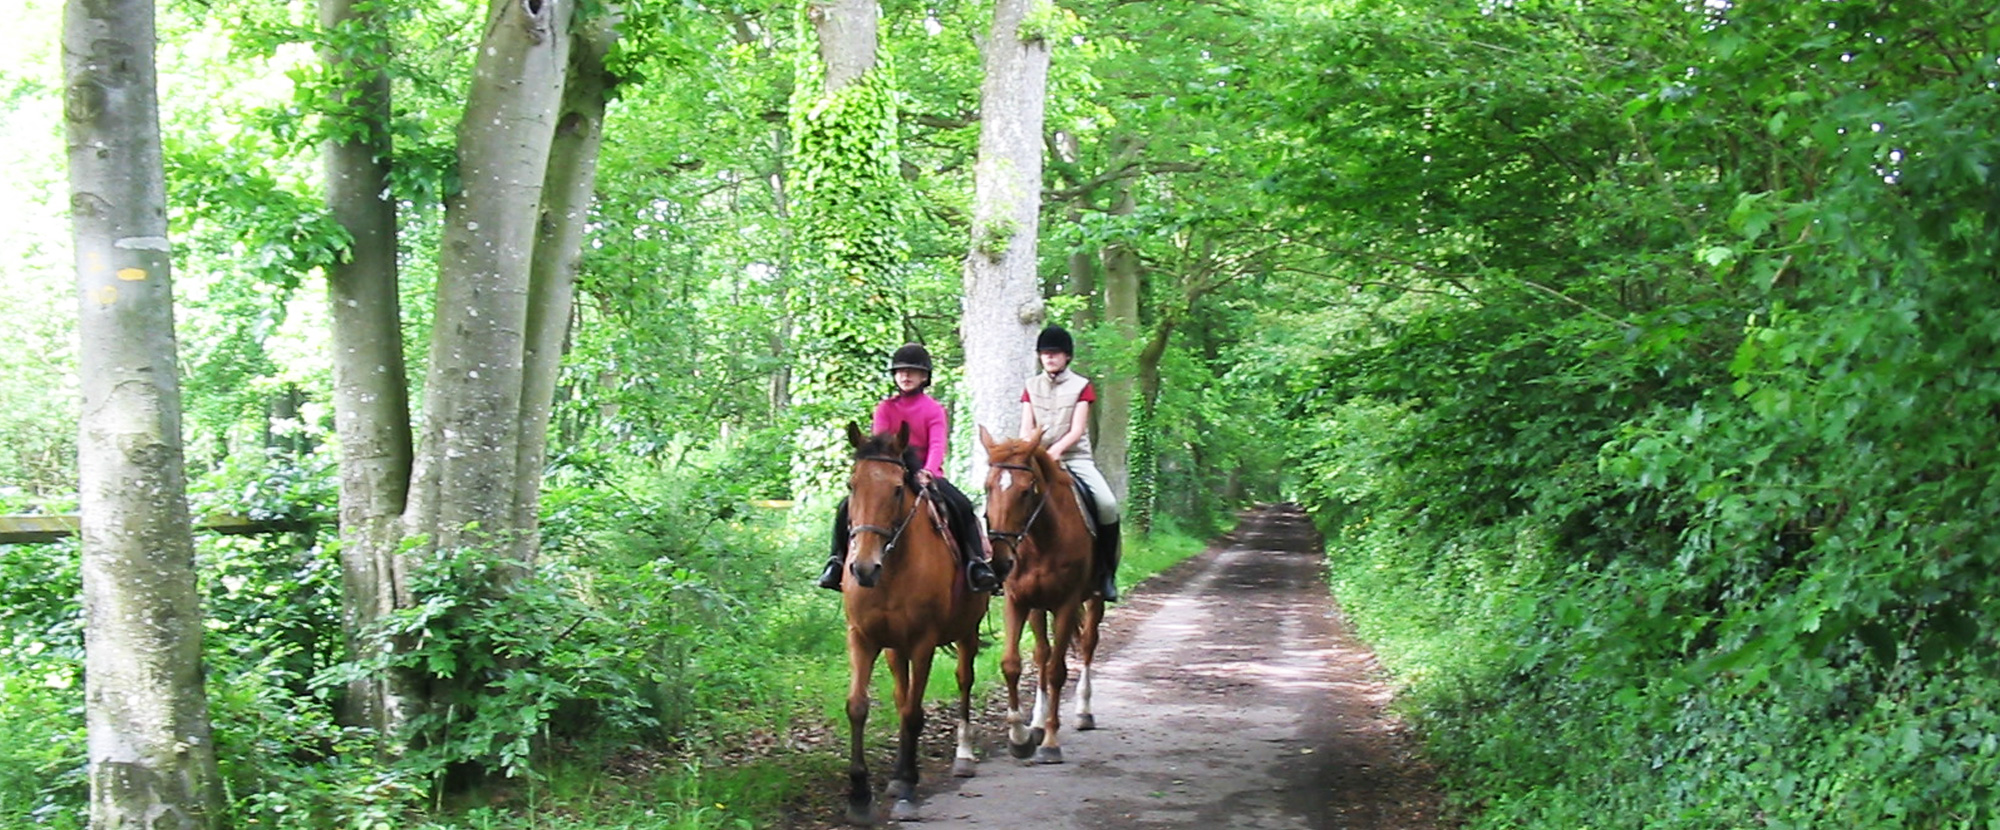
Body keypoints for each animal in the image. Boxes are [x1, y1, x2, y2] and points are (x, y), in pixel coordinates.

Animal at [836, 426, 984, 828]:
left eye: (897, 489)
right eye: (852, 485)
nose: (863, 568)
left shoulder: (923, 642)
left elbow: (914, 714)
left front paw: (905, 785)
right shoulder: (862, 638)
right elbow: (859, 706)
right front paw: (859, 796)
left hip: (967, 632)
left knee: (964, 681)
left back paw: (963, 756)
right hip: (893, 648)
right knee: (902, 694)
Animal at [972, 428, 1104, 768]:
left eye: (1025, 491)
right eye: (988, 486)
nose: (1001, 561)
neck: (1042, 540)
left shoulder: (1067, 604)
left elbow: (1058, 670)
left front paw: (1051, 742)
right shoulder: (1018, 601)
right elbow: (1012, 664)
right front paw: (1020, 737)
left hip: (1094, 599)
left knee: (1087, 645)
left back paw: (1083, 712)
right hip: (1037, 608)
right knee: (1042, 654)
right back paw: (1036, 723)